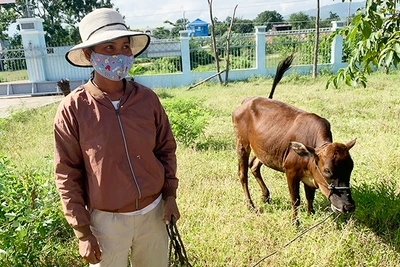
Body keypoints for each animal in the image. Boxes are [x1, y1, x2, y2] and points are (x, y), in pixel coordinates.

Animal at [231, 54, 356, 224]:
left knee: (254, 166)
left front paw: (311, 214)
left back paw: (265, 196)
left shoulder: (310, 175)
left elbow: (309, 196)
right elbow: (295, 199)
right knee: (242, 173)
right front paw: (295, 222)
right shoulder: (290, 171)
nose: (348, 206)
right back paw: (251, 205)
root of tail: (247, 101)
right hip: (242, 144)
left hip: (262, 150)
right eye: (327, 171)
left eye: (351, 168)